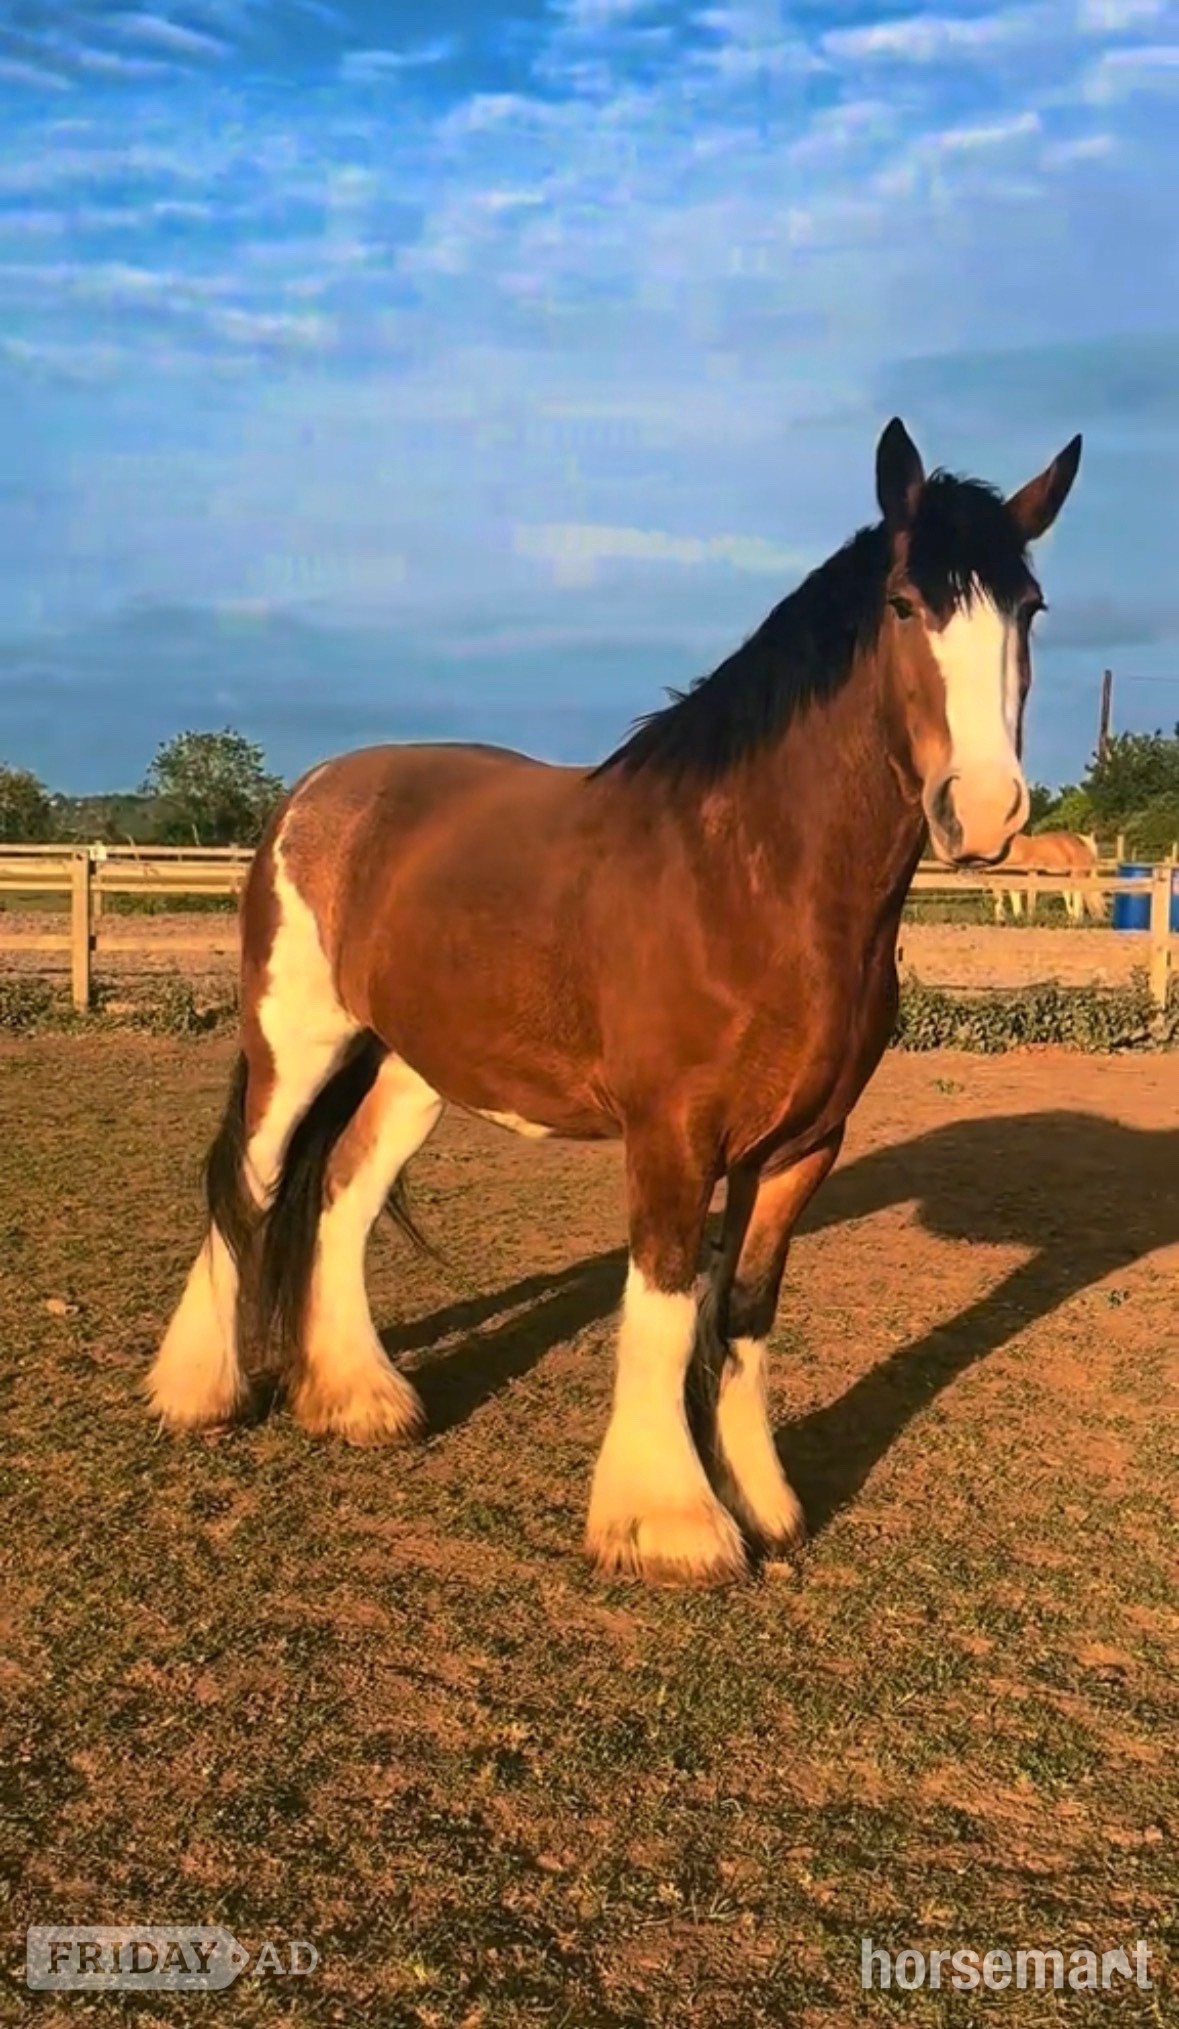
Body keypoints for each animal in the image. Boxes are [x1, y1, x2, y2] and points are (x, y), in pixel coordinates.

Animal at [146, 415, 1082, 1588]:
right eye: (908, 603)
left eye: (1030, 608)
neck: (751, 879)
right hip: (296, 1044)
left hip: (413, 1067)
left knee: (341, 1194)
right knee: (249, 1181)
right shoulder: (672, 1135)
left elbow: (743, 1312)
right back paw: (196, 1390)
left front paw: (762, 1502)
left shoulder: (802, 1146)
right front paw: (667, 1521)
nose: (986, 810)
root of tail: (314, 796)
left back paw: (358, 1400)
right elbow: (665, 1306)